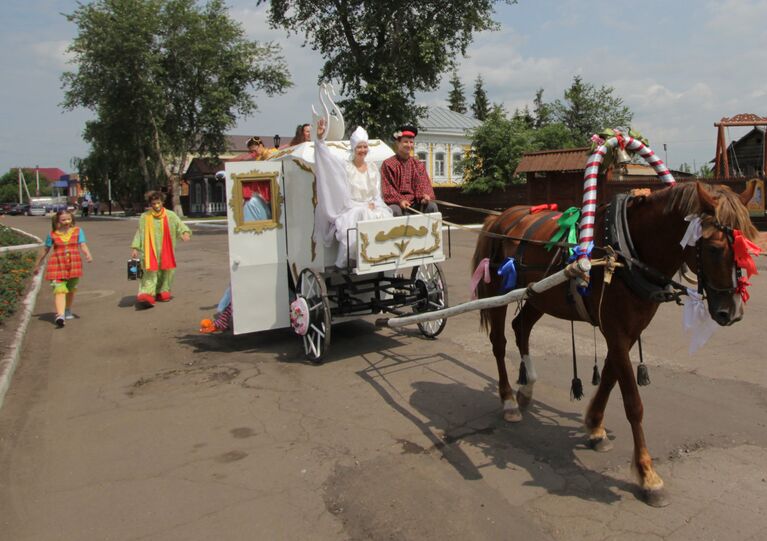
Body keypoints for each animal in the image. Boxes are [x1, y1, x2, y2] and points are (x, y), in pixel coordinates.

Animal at [472, 181, 760, 506]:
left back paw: (527, 387)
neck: (627, 252)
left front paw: (596, 427)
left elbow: (610, 377)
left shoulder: (628, 331)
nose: (732, 312)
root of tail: (500, 218)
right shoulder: (616, 330)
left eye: (750, 246)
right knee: (499, 342)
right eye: (713, 248)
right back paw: (509, 400)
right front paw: (648, 475)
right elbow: (633, 402)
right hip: (498, 291)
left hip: (539, 295)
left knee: (521, 328)